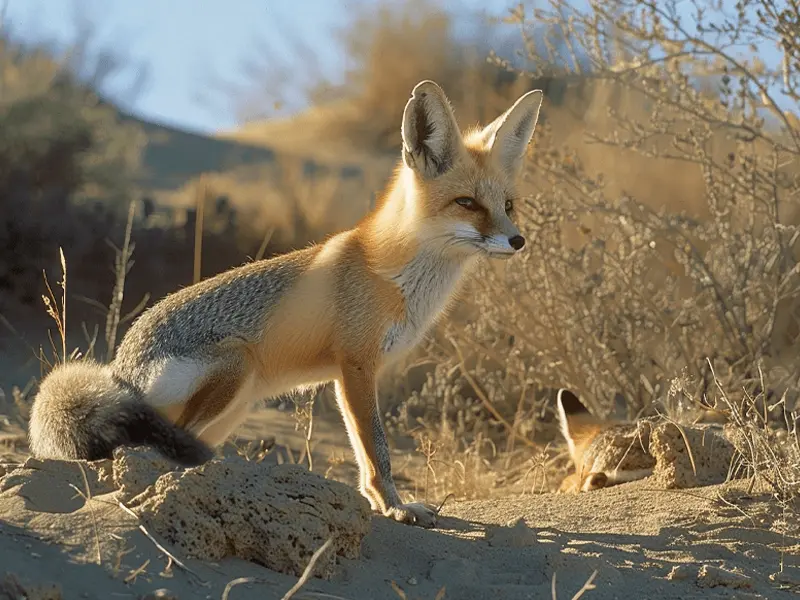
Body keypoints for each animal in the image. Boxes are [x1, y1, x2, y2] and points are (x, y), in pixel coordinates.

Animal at [28, 80, 544, 528]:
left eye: (508, 205)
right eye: (467, 203)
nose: (517, 241)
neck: (395, 275)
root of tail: (119, 371)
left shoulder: (348, 376)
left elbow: (362, 457)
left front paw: (380, 504)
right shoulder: (356, 365)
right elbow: (377, 450)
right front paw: (396, 508)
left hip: (234, 408)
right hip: (236, 366)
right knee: (141, 454)